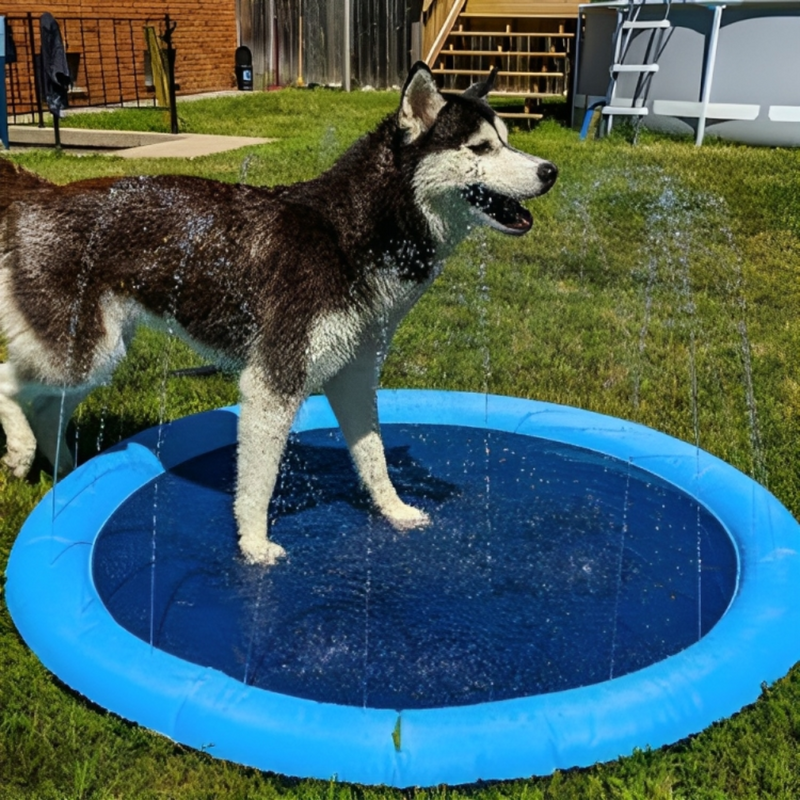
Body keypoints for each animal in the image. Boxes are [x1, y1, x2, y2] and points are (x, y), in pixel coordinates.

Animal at [1, 64, 556, 564]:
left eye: (508, 141)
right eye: (480, 148)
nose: (550, 171)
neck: (349, 235)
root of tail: (43, 192)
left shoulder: (354, 376)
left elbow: (373, 457)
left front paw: (395, 511)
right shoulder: (275, 380)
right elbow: (259, 483)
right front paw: (254, 546)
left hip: (97, 352)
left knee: (47, 406)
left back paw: (64, 471)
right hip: (81, 350)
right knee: (9, 383)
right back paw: (22, 450)